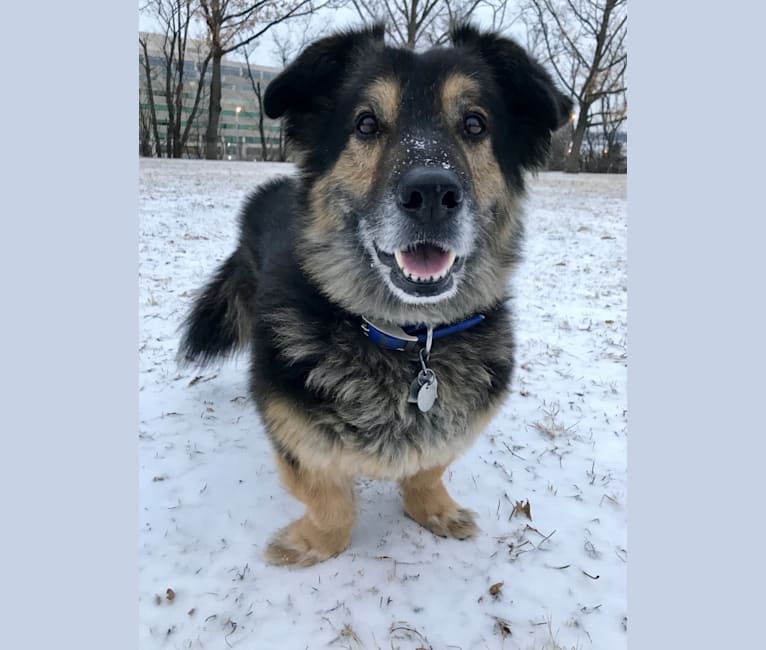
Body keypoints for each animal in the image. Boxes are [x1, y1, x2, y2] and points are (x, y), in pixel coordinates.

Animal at [178, 22, 568, 564]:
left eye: (474, 124)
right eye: (365, 124)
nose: (432, 194)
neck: (405, 338)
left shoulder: (451, 426)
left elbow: (428, 467)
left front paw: (433, 508)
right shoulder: (292, 429)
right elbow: (331, 501)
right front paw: (310, 544)